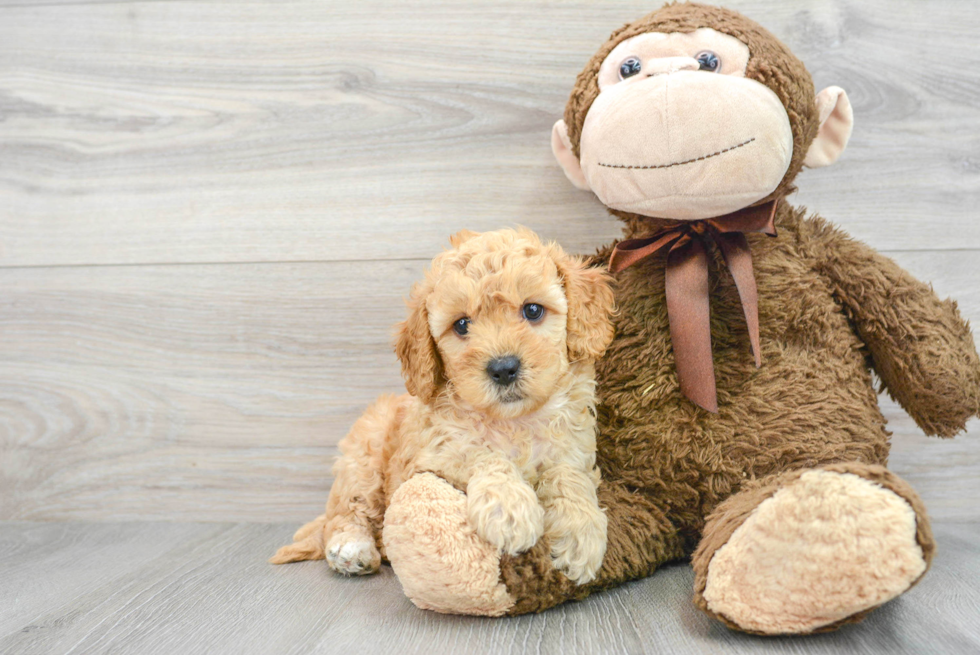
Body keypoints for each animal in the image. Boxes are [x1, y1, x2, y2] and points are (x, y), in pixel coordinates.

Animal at [268, 227, 616, 584]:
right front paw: (509, 509)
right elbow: (481, 453)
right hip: (364, 454)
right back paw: (353, 548)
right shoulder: (433, 453)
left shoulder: (573, 447)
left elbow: (567, 475)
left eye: (533, 310)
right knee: (347, 512)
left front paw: (581, 532)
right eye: (461, 325)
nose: (503, 368)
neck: (512, 421)